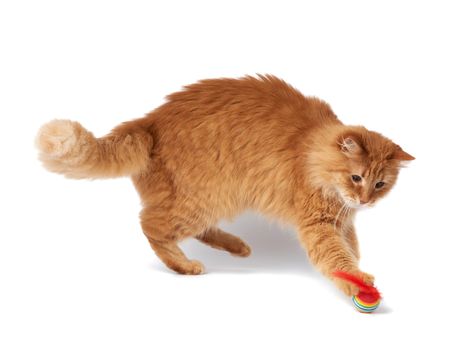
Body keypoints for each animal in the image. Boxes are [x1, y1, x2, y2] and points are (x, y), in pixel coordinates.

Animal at [36, 75, 414, 296]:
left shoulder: (342, 222)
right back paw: (185, 266)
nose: (365, 200)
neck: (311, 151)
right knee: (151, 225)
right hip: (204, 198)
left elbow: (352, 250)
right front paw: (357, 284)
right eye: (356, 177)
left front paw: (358, 272)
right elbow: (337, 258)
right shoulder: (319, 225)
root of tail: (147, 122)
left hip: (216, 199)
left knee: (190, 229)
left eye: (380, 184)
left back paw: (236, 246)